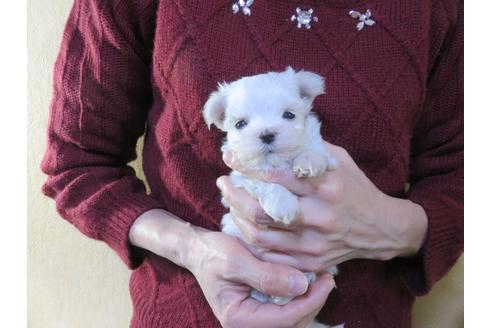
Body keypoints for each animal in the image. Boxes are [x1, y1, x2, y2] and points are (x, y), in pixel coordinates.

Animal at [204, 66, 342, 328]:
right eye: (241, 124)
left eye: (289, 115)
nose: (267, 134)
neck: (279, 162)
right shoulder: (243, 178)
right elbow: (265, 184)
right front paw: (284, 205)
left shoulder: (328, 157)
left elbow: (315, 153)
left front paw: (307, 163)